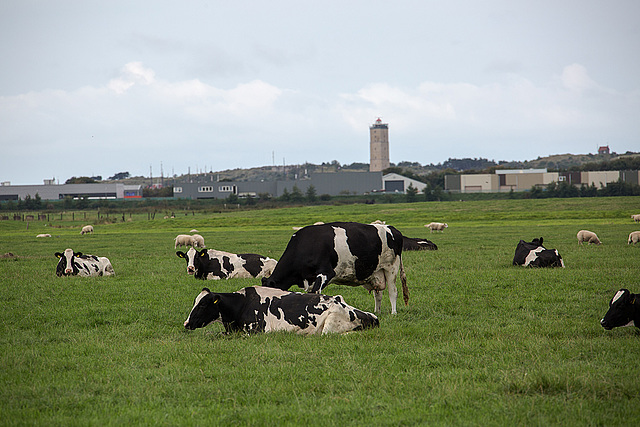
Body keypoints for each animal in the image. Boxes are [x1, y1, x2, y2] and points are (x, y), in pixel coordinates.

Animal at [262, 222, 408, 316]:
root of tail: (392, 229)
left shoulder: (326, 273)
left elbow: (316, 293)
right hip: (376, 272)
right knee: (378, 294)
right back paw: (376, 312)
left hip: (391, 268)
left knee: (393, 291)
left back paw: (393, 313)